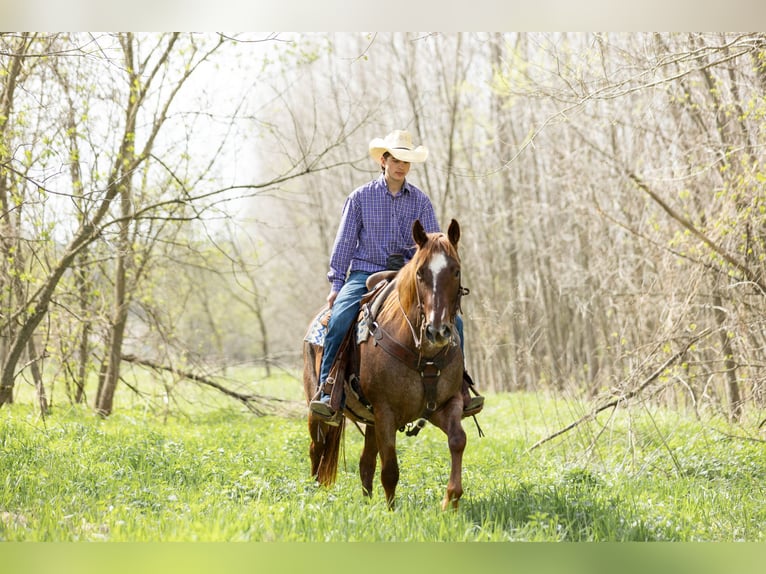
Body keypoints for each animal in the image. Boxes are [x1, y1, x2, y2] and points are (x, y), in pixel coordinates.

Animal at [303, 219, 468, 510]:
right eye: (420, 273)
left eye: (456, 271)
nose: (437, 331)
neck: (422, 353)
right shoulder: (386, 412)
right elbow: (390, 468)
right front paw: (392, 512)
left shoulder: (446, 404)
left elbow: (458, 440)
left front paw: (451, 499)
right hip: (318, 409)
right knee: (317, 449)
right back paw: (316, 494)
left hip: (370, 420)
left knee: (365, 463)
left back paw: (367, 502)